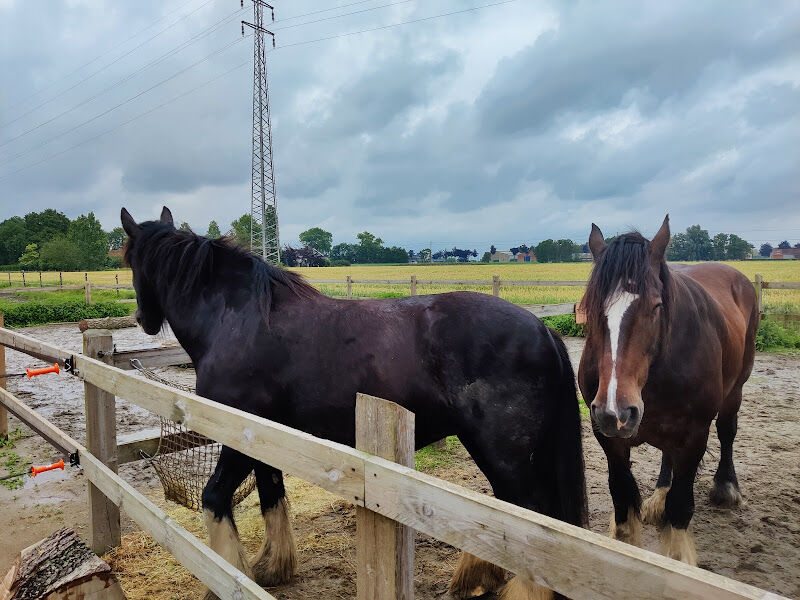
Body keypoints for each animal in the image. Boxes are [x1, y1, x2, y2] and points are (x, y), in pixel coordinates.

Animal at [120, 207, 588, 600]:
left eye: (131, 261)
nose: (143, 318)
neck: (237, 319)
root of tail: (543, 330)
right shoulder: (265, 439)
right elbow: (272, 494)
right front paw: (273, 568)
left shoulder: (238, 437)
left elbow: (214, 498)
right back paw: (476, 578)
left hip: (505, 453)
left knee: (530, 522)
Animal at [576, 218, 756, 564]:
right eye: (590, 308)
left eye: (656, 306)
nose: (616, 412)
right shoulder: (608, 439)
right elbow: (622, 500)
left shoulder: (695, 434)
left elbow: (681, 505)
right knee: (666, 455)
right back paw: (660, 493)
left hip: (736, 387)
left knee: (727, 430)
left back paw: (726, 487)